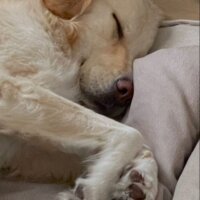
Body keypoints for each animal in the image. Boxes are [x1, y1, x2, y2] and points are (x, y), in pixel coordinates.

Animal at [0, 0, 162, 199]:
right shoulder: (13, 89)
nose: (127, 91)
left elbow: (143, 146)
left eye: (139, 55)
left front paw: (141, 179)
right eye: (118, 26)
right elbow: (131, 134)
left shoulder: (18, 148)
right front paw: (97, 186)